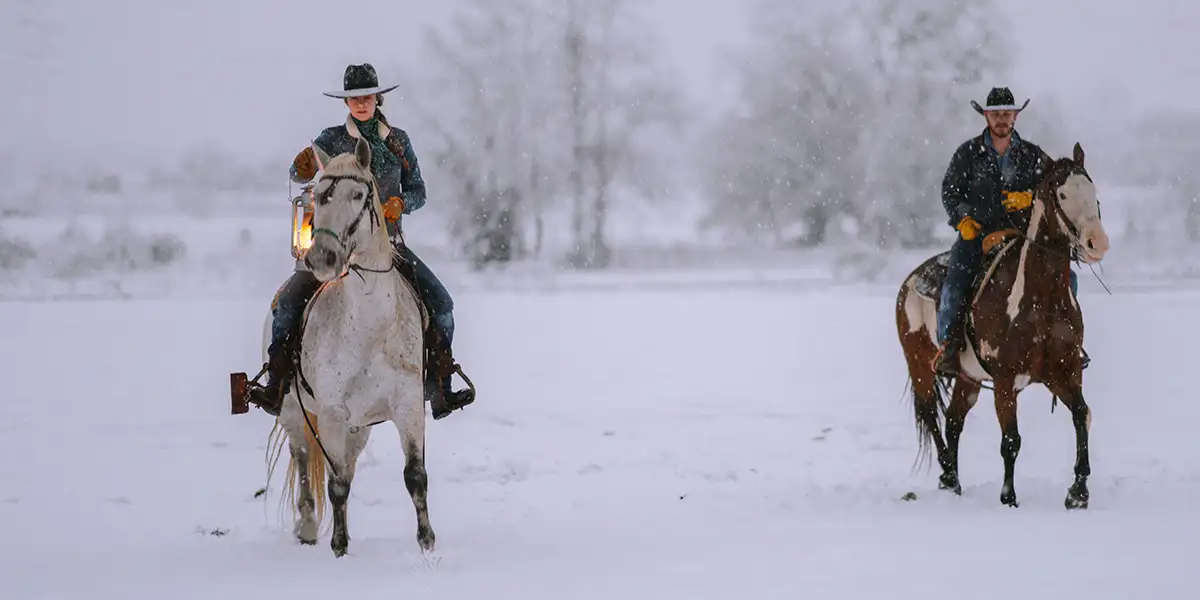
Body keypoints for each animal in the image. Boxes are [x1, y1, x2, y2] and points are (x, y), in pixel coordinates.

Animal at [260, 136, 434, 556]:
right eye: (319, 195)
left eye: (359, 194)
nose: (322, 257)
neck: (370, 329)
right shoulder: (332, 413)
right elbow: (335, 484)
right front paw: (339, 547)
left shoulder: (407, 406)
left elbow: (415, 476)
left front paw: (427, 543)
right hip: (294, 413)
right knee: (304, 461)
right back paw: (308, 527)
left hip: (360, 427)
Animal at [897, 142, 1108, 508]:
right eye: (1063, 194)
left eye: (1092, 191)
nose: (1097, 242)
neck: (1040, 303)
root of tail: (911, 280)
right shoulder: (1006, 381)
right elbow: (1011, 439)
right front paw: (1008, 498)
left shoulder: (1063, 372)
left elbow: (1082, 414)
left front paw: (1078, 492)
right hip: (919, 364)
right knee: (931, 416)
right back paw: (947, 473)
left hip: (967, 378)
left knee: (953, 421)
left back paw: (954, 481)